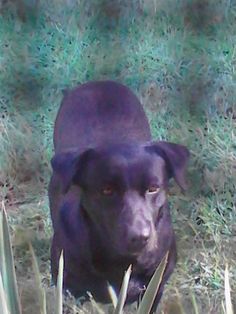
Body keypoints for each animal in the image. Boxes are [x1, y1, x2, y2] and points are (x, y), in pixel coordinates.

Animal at [48, 79, 190, 310]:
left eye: (153, 188)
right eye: (107, 190)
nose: (139, 237)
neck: (121, 262)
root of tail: (98, 82)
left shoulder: (154, 289)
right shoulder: (68, 291)